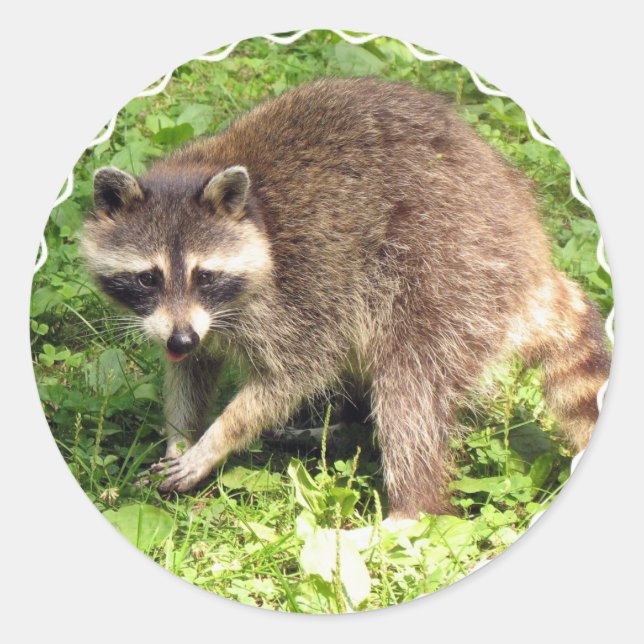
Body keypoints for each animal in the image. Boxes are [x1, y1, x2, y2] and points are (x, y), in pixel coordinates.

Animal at [81, 78, 611, 517]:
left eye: (205, 275)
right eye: (148, 279)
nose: (182, 339)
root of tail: (531, 254)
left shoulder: (299, 291)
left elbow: (292, 376)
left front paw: (217, 439)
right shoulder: (198, 323)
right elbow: (191, 373)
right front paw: (180, 435)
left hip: (452, 274)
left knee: (409, 386)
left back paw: (408, 509)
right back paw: (345, 425)